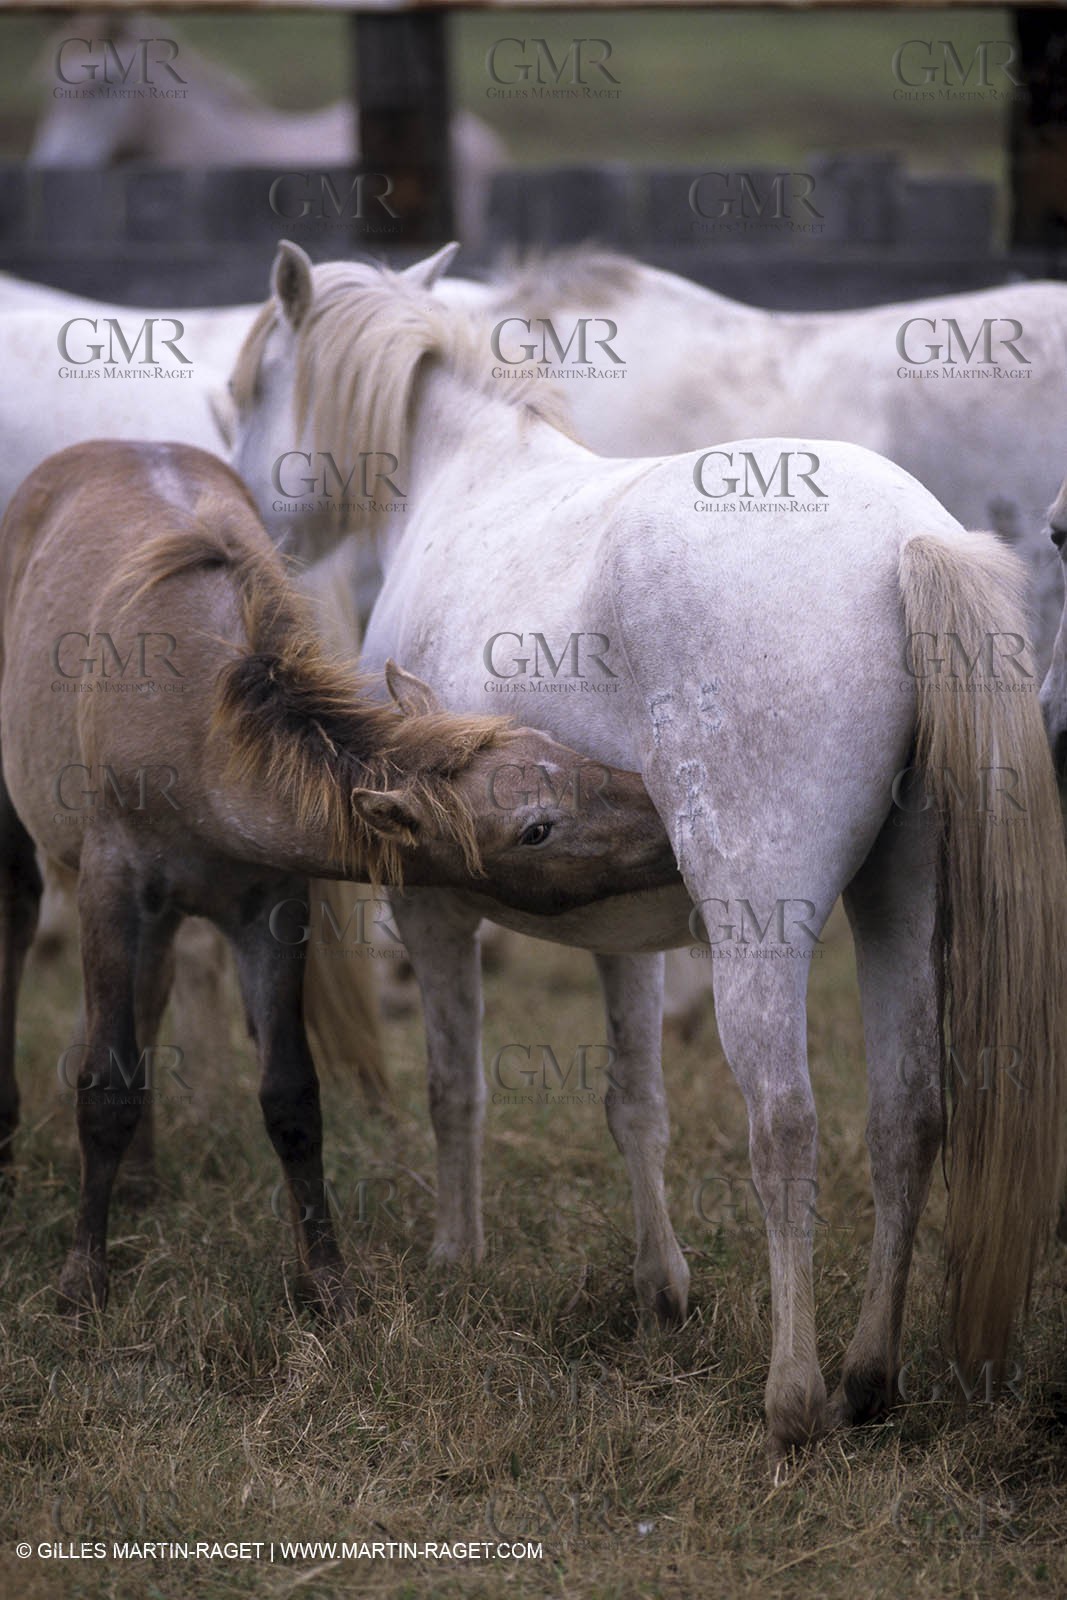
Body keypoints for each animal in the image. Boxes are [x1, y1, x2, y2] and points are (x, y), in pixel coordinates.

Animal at [0, 437, 680, 1317]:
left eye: (556, 747)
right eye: (535, 828)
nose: (665, 817)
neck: (197, 735)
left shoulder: (269, 908)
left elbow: (291, 1096)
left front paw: (326, 1280)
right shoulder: (108, 891)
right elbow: (104, 1086)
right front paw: (83, 1278)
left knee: (151, 1000)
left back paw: (145, 1182)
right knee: (19, 934)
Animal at [224, 242, 1067, 1468]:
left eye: (251, 388)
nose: (256, 527)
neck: (466, 484)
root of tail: (901, 541)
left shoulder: (432, 910)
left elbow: (454, 1085)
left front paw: (455, 1260)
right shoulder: (617, 924)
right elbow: (636, 1103)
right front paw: (658, 1289)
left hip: (760, 929)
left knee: (785, 1123)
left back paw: (793, 1398)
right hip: (898, 903)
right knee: (906, 1112)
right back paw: (867, 1377)